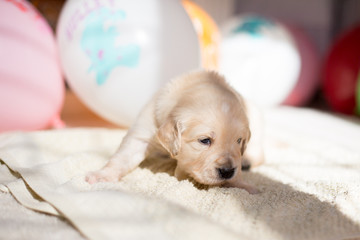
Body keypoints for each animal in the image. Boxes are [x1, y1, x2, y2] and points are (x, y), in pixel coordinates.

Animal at [86, 70, 262, 194]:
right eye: (205, 140)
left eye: (238, 141)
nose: (227, 171)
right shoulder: (143, 130)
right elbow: (122, 157)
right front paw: (102, 175)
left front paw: (243, 186)